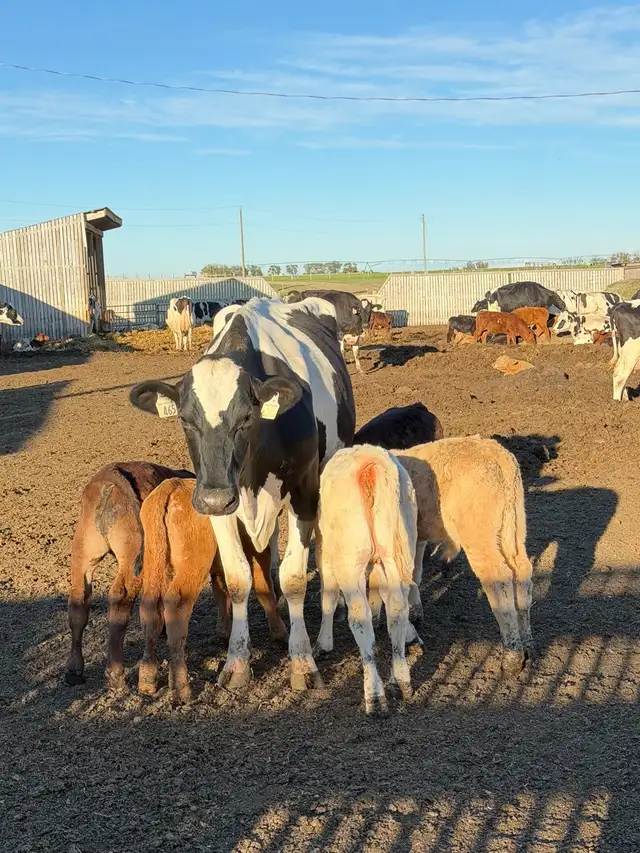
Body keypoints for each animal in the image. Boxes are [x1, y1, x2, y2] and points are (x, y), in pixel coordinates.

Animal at [64, 461, 193, 687]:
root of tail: (110, 480)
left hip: (83, 557)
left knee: (78, 602)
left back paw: (74, 670)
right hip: (133, 563)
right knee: (120, 598)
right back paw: (115, 673)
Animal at [129, 296, 356, 691]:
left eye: (247, 418)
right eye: (185, 420)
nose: (214, 498)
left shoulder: (304, 491)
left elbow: (296, 577)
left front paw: (302, 662)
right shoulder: (220, 501)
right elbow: (238, 578)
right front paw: (236, 663)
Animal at [314, 445, 419, 716]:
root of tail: (369, 463)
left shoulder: (325, 553)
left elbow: (328, 597)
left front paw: (323, 643)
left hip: (348, 560)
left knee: (359, 617)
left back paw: (374, 694)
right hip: (398, 552)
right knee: (397, 609)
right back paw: (400, 681)